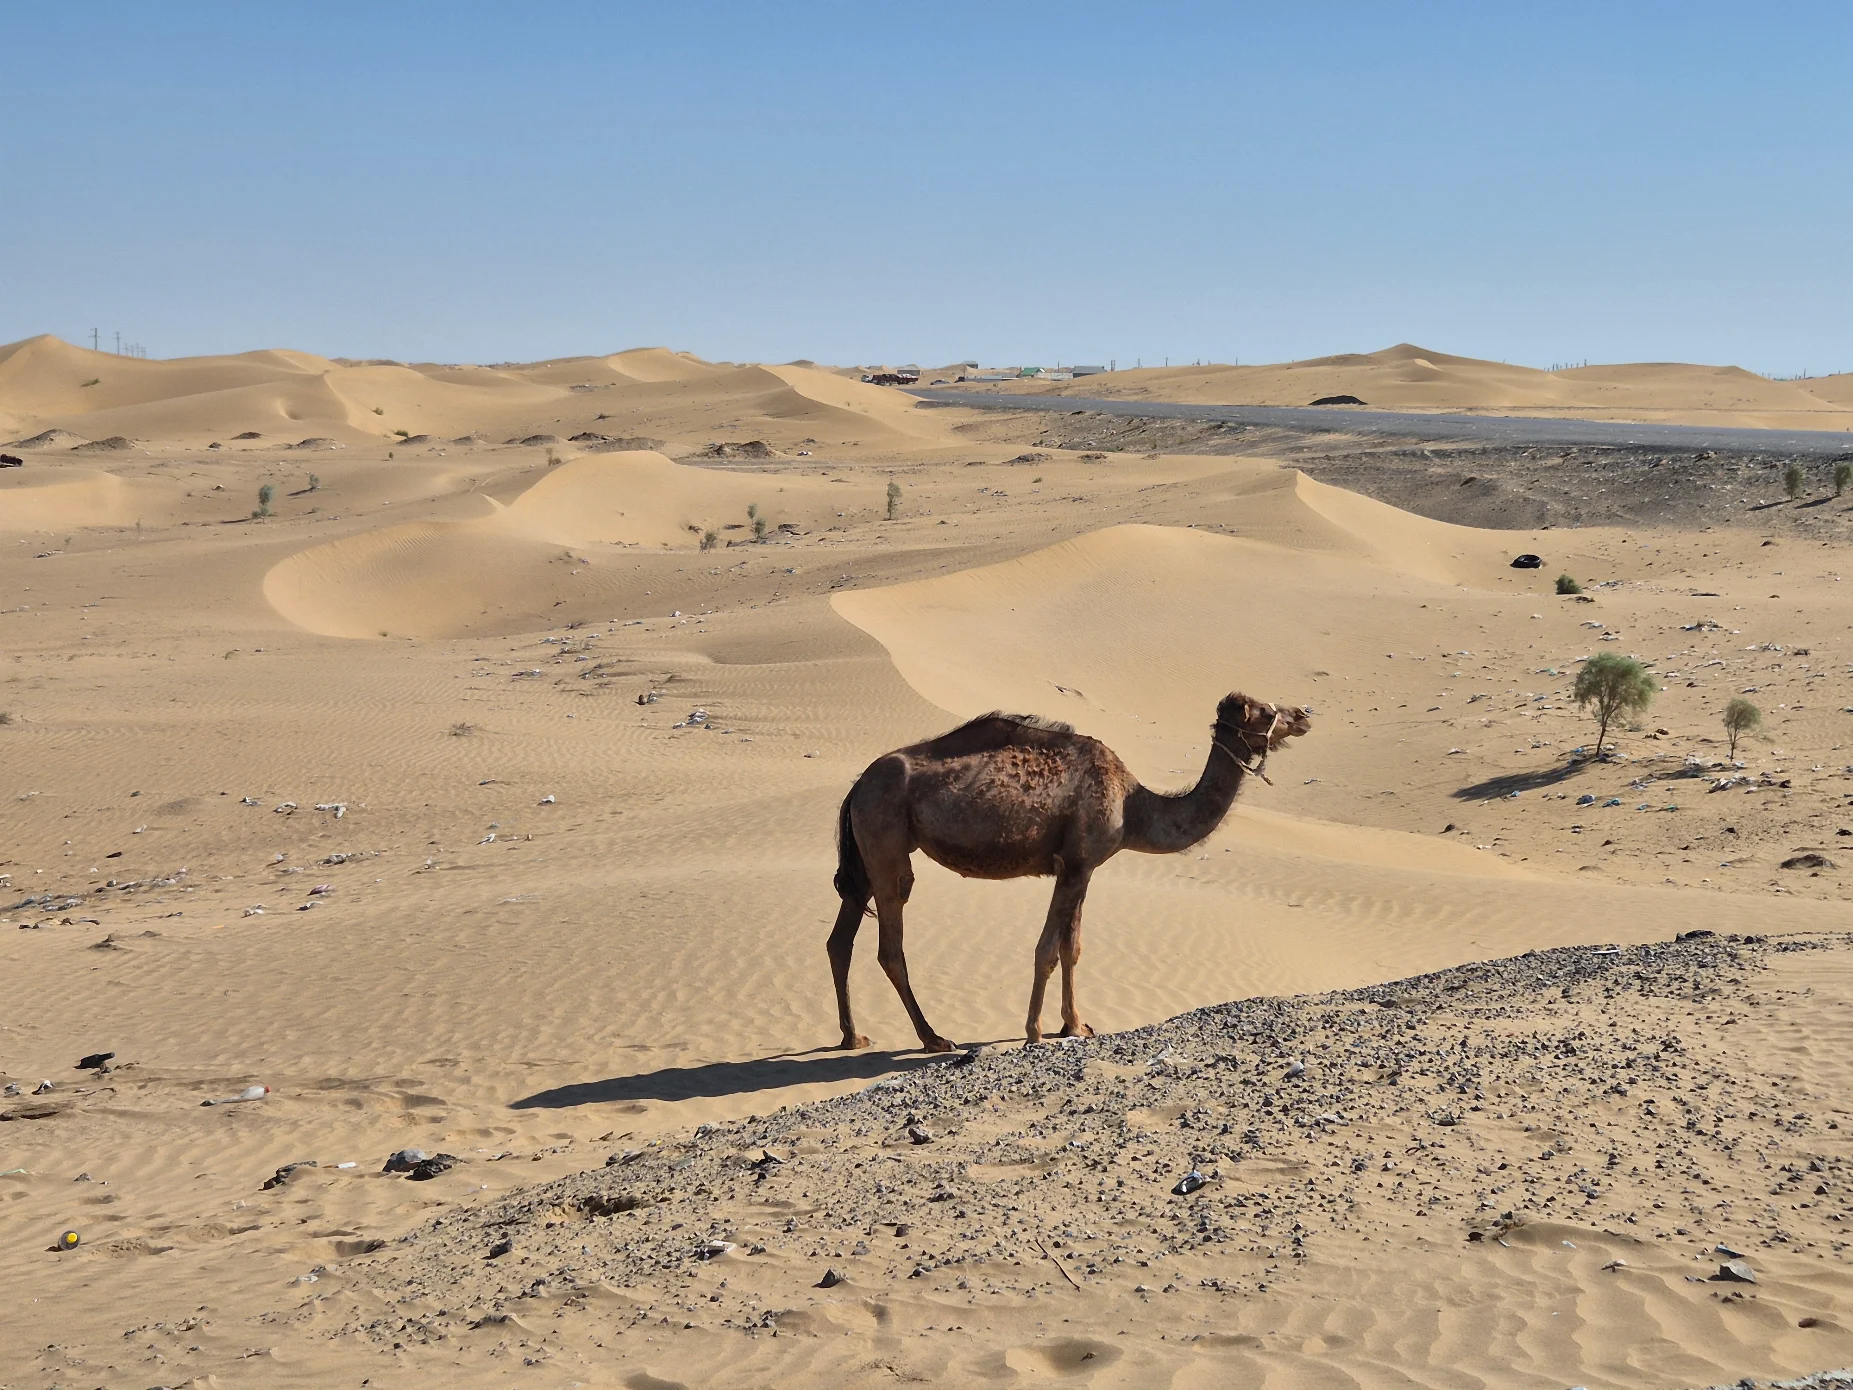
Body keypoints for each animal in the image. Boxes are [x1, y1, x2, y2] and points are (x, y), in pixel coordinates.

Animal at [828, 692, 1313, 1051]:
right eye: (1265, 711)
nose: (1304, 714)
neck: (1133, 806)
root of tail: (857, 785)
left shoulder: (1081, 868)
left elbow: (1070, 947)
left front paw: (1075, 1025)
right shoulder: (1078, 863)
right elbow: (1049, 948)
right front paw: (1035, 1031)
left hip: (868, 855)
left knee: (841, 937)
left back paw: (853, 1037)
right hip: (887, 841)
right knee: (891, 943)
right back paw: (933, 1039)